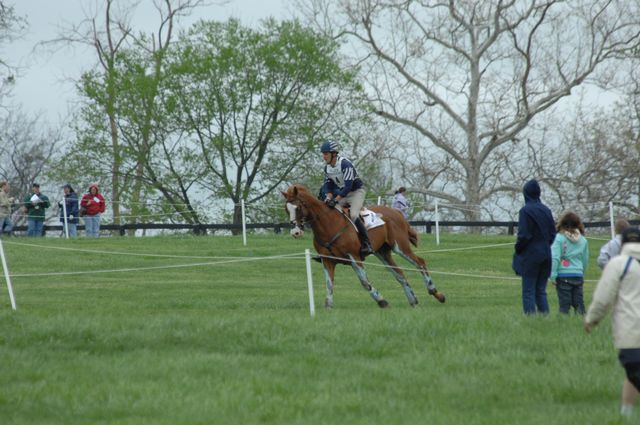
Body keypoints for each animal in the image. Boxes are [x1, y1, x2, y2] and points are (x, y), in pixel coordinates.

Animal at [282, 184, 448, 306]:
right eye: (286, 209)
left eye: (297, 207)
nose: (295, 232)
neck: (327, 224)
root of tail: (396, 212)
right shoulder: (327, 260)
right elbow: (329, 285)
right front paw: (328, 307)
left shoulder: (354, 257)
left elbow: (365, 282)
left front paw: (381, 301)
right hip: (383, 252)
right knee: (399, 273)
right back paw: (413, 300)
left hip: (400, 246)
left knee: (420, 262)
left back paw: (436, 293)